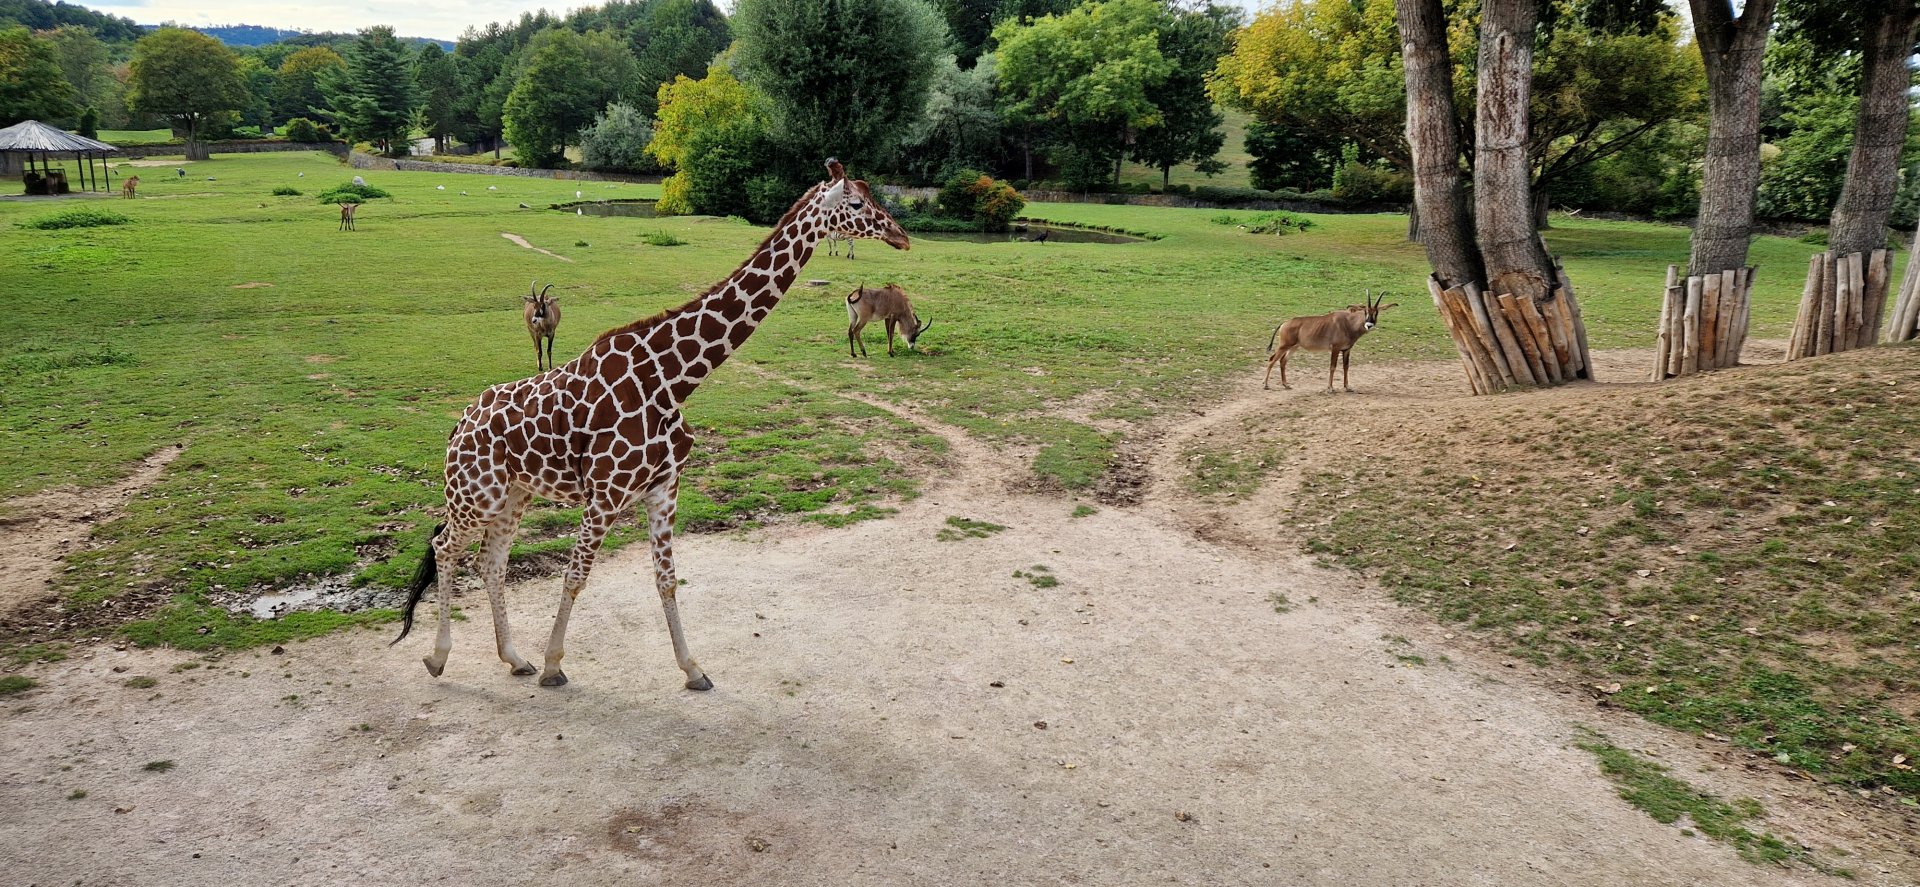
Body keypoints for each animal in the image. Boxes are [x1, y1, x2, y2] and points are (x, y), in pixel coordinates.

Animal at [393, 159, 910, 690]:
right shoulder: (604, 495)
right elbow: (575, 576)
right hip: (475, 493)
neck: (671, 379)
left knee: (490, 562)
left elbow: (666, 580)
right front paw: (555, 664)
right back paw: (439, 657)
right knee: (444, 547)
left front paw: (693, 669)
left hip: (512, 495)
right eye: (856, 203)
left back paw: (514, 658)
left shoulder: (664, 487)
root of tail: (457, 425)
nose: (901, 235)